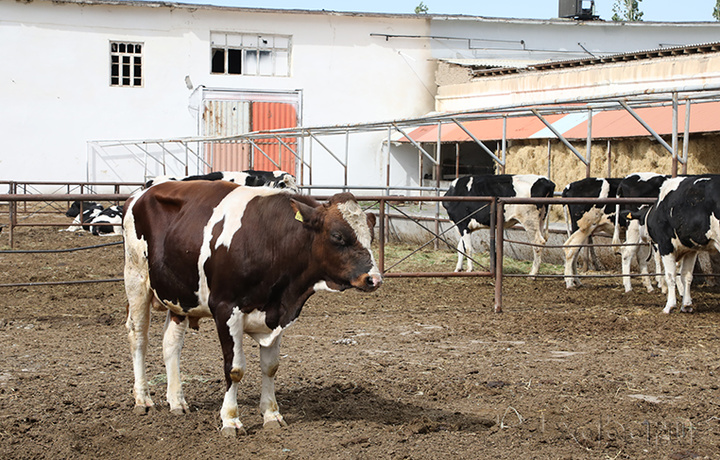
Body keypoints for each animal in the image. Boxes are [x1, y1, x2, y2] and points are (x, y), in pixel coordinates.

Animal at [124, 180, 382, 434]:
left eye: (370, 235)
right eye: (338, 236)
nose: (374, 279)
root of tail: (142, 192)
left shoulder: (276, 315)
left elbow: (270, 367)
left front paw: (271, 415)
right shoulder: (226, 310)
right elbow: (234, 368)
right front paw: (230, 420)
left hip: (179, 296)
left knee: (171, 344)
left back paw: (177, 401)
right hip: (136, 280)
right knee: (138, 338)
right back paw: (143, 400)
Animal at [644, 174, 720, 314]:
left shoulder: (665, 245)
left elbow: (670, 276)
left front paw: (670, 305)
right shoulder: (691, 250)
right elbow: (687, 276)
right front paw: (687, 304)